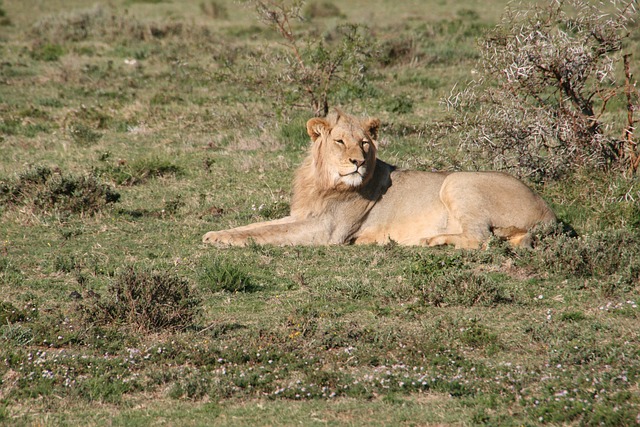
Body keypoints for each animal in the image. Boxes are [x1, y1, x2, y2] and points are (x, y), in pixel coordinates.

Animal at [202, 109, 556, 251]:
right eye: (340, 142)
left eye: (364, 144)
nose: (357, 163)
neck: (324, 182)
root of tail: (549, 213)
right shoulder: (304, 215)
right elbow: (259, 226)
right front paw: (215, 234)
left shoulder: (327, 230)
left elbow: (269, 234)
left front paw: (222, 240)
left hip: (457, 181)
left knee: (481, 239)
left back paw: (429, 240)